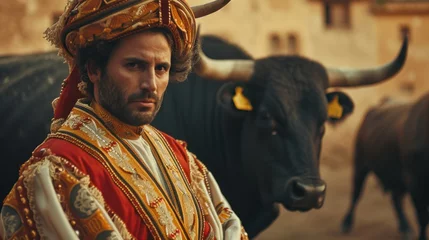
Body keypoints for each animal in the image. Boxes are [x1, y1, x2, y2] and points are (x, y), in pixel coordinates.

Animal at [342, 93, 428, 240]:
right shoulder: (415, 183)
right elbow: (423, 218)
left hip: (397, 176)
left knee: (396, 199)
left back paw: (405, 226)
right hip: (360, 164)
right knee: (356, 194)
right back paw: (346, 223)